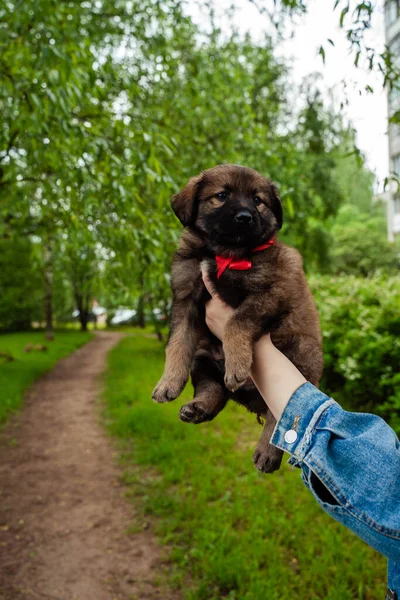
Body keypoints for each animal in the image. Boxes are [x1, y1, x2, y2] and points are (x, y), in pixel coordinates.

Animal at [152, 164, 324, 474]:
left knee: (282, 413)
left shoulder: (269, 293)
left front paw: (238, 363)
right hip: (203, 356)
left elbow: (236, 322)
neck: (225, 254)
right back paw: (198, 408)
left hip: (301, 352)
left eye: (258, 200)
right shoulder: (185, 297)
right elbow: (177, 343)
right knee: (214, 390)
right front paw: (167, 383)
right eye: (222, 196)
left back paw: (267, 450)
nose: (245, 217)